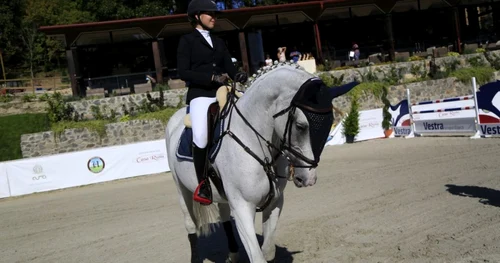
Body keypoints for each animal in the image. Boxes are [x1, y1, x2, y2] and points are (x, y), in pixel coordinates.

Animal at [164, 62, 356, 263]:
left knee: (224, 216)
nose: (308, 179)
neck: (254, 139)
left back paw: (233, 255)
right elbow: (257, 257)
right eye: (300, 126)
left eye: (329, 124)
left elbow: (268, 251)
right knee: (190, 224)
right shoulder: (242, 207)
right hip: (182, 190)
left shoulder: (275, 202)